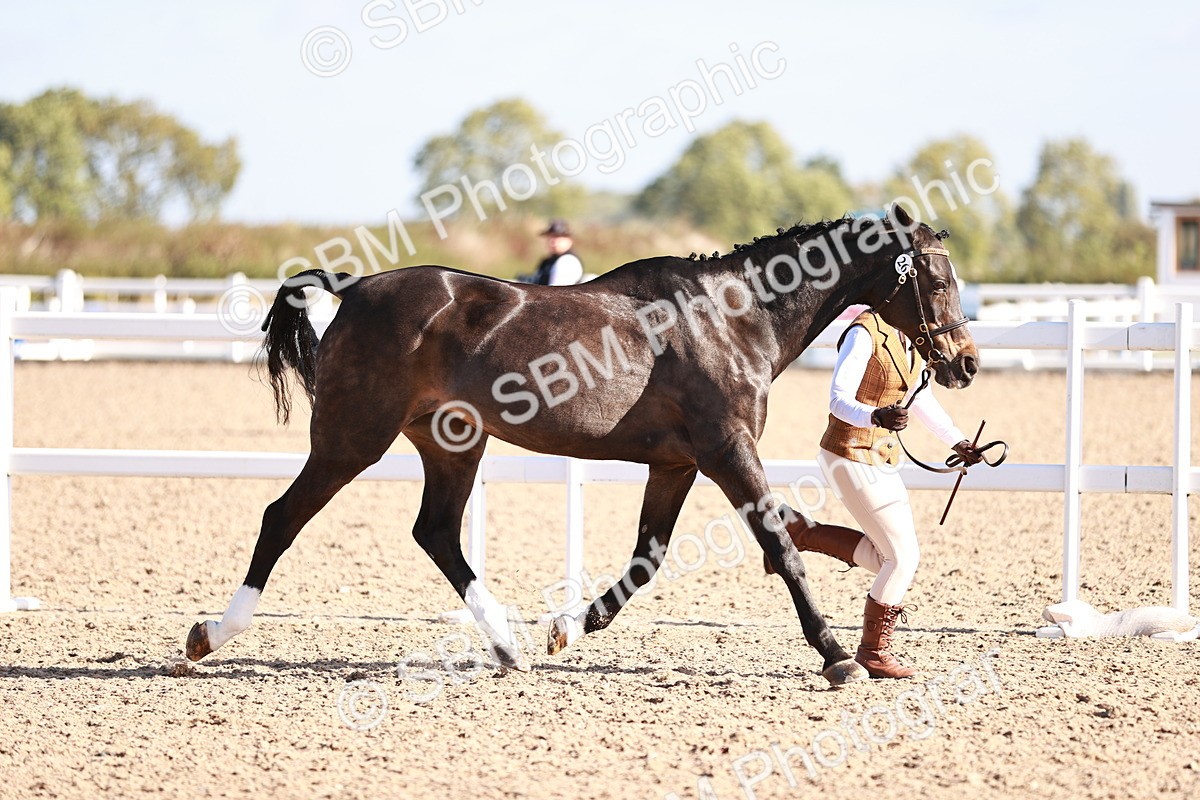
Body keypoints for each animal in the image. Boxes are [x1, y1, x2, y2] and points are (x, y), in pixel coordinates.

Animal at [184, 203, 978, 686]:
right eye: (936, 277)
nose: (964, 364)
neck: (735, 316)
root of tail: (353, 289)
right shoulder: (726, 451)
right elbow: (780, 546)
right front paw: (838, 656)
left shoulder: (676, 462)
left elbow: (649, 557)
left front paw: (570, 626)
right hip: (353, 439)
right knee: (282, 518)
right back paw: (211, 636)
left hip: (452, 444)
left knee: (435, 532)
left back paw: (508, 646)